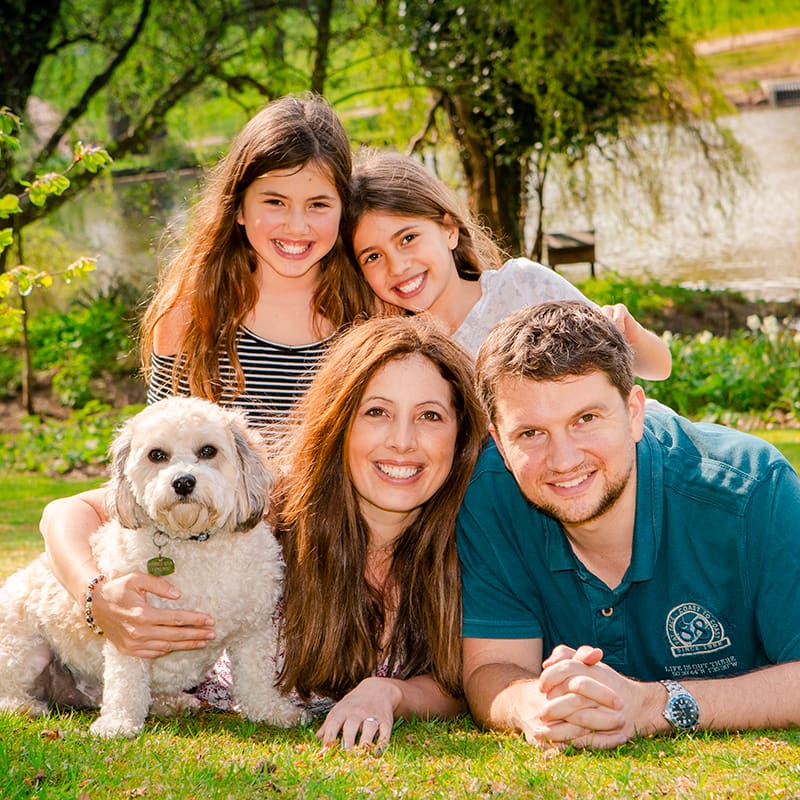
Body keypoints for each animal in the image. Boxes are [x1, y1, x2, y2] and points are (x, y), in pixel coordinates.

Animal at [0, 396, 304, 740]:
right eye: (157, 455)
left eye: (208, 451)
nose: (183, 482)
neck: (195, 542)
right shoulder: (129, 625)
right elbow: (126, 682)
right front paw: (118, 723)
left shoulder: (254, 630)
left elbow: (257, 678)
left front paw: (271, 711)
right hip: (23, 647)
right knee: (10, 692)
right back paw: (24, 706)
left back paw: (169, 703)